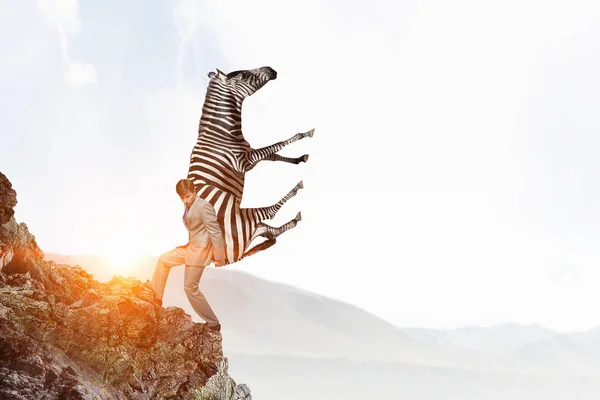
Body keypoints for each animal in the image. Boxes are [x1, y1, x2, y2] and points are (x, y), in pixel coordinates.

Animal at [185, 66, 312, 262]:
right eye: (243, 76)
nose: (271, 69)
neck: (222, 133)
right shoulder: (244, 160)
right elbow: (278, 144)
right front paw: (304, 134)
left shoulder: (250, 156)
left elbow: (274, 155)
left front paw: (299, 158)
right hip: (240, 217)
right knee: (269, 213)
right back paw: (296, 188)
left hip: (252, 229)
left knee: (272, 231)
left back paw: (295, 218)